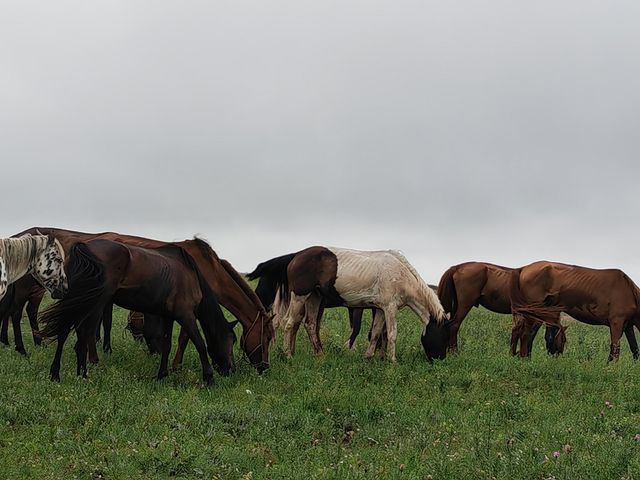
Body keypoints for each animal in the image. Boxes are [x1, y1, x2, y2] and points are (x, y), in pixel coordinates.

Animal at [40, 240, 236, 386]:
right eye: (231, 340)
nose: (231, 370)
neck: (192, 276)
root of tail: (83, 247)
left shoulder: (168, 317)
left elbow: (166, 346)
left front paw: (161, 375)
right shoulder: (185, 315)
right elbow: (200, 344)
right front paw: (209, 378)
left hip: (76, 301)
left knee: (64, 333)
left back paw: (55, 373)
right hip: (94, 304)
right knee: (82, 338)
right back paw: (83, 376)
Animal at [248, 246, 448, 362]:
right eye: (444, 336)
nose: (440, 360)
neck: (400, 275)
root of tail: (296, 255)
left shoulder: (380, 309)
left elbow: (376, 333)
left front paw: (368, 357)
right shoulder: (390, 309)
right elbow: (391, 334)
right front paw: (392, 361)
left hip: (314, 298)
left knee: (310, 324)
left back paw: (319, 354)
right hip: (300, 296)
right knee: (289, 324)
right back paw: (288, 354)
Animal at [504, 262, 640, 360]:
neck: (629, 291)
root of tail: (523, 269)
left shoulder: (627, 326)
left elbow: (634, 348)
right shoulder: (617, 322)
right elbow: (615, 348)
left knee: (522, 332)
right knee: (525, 334)